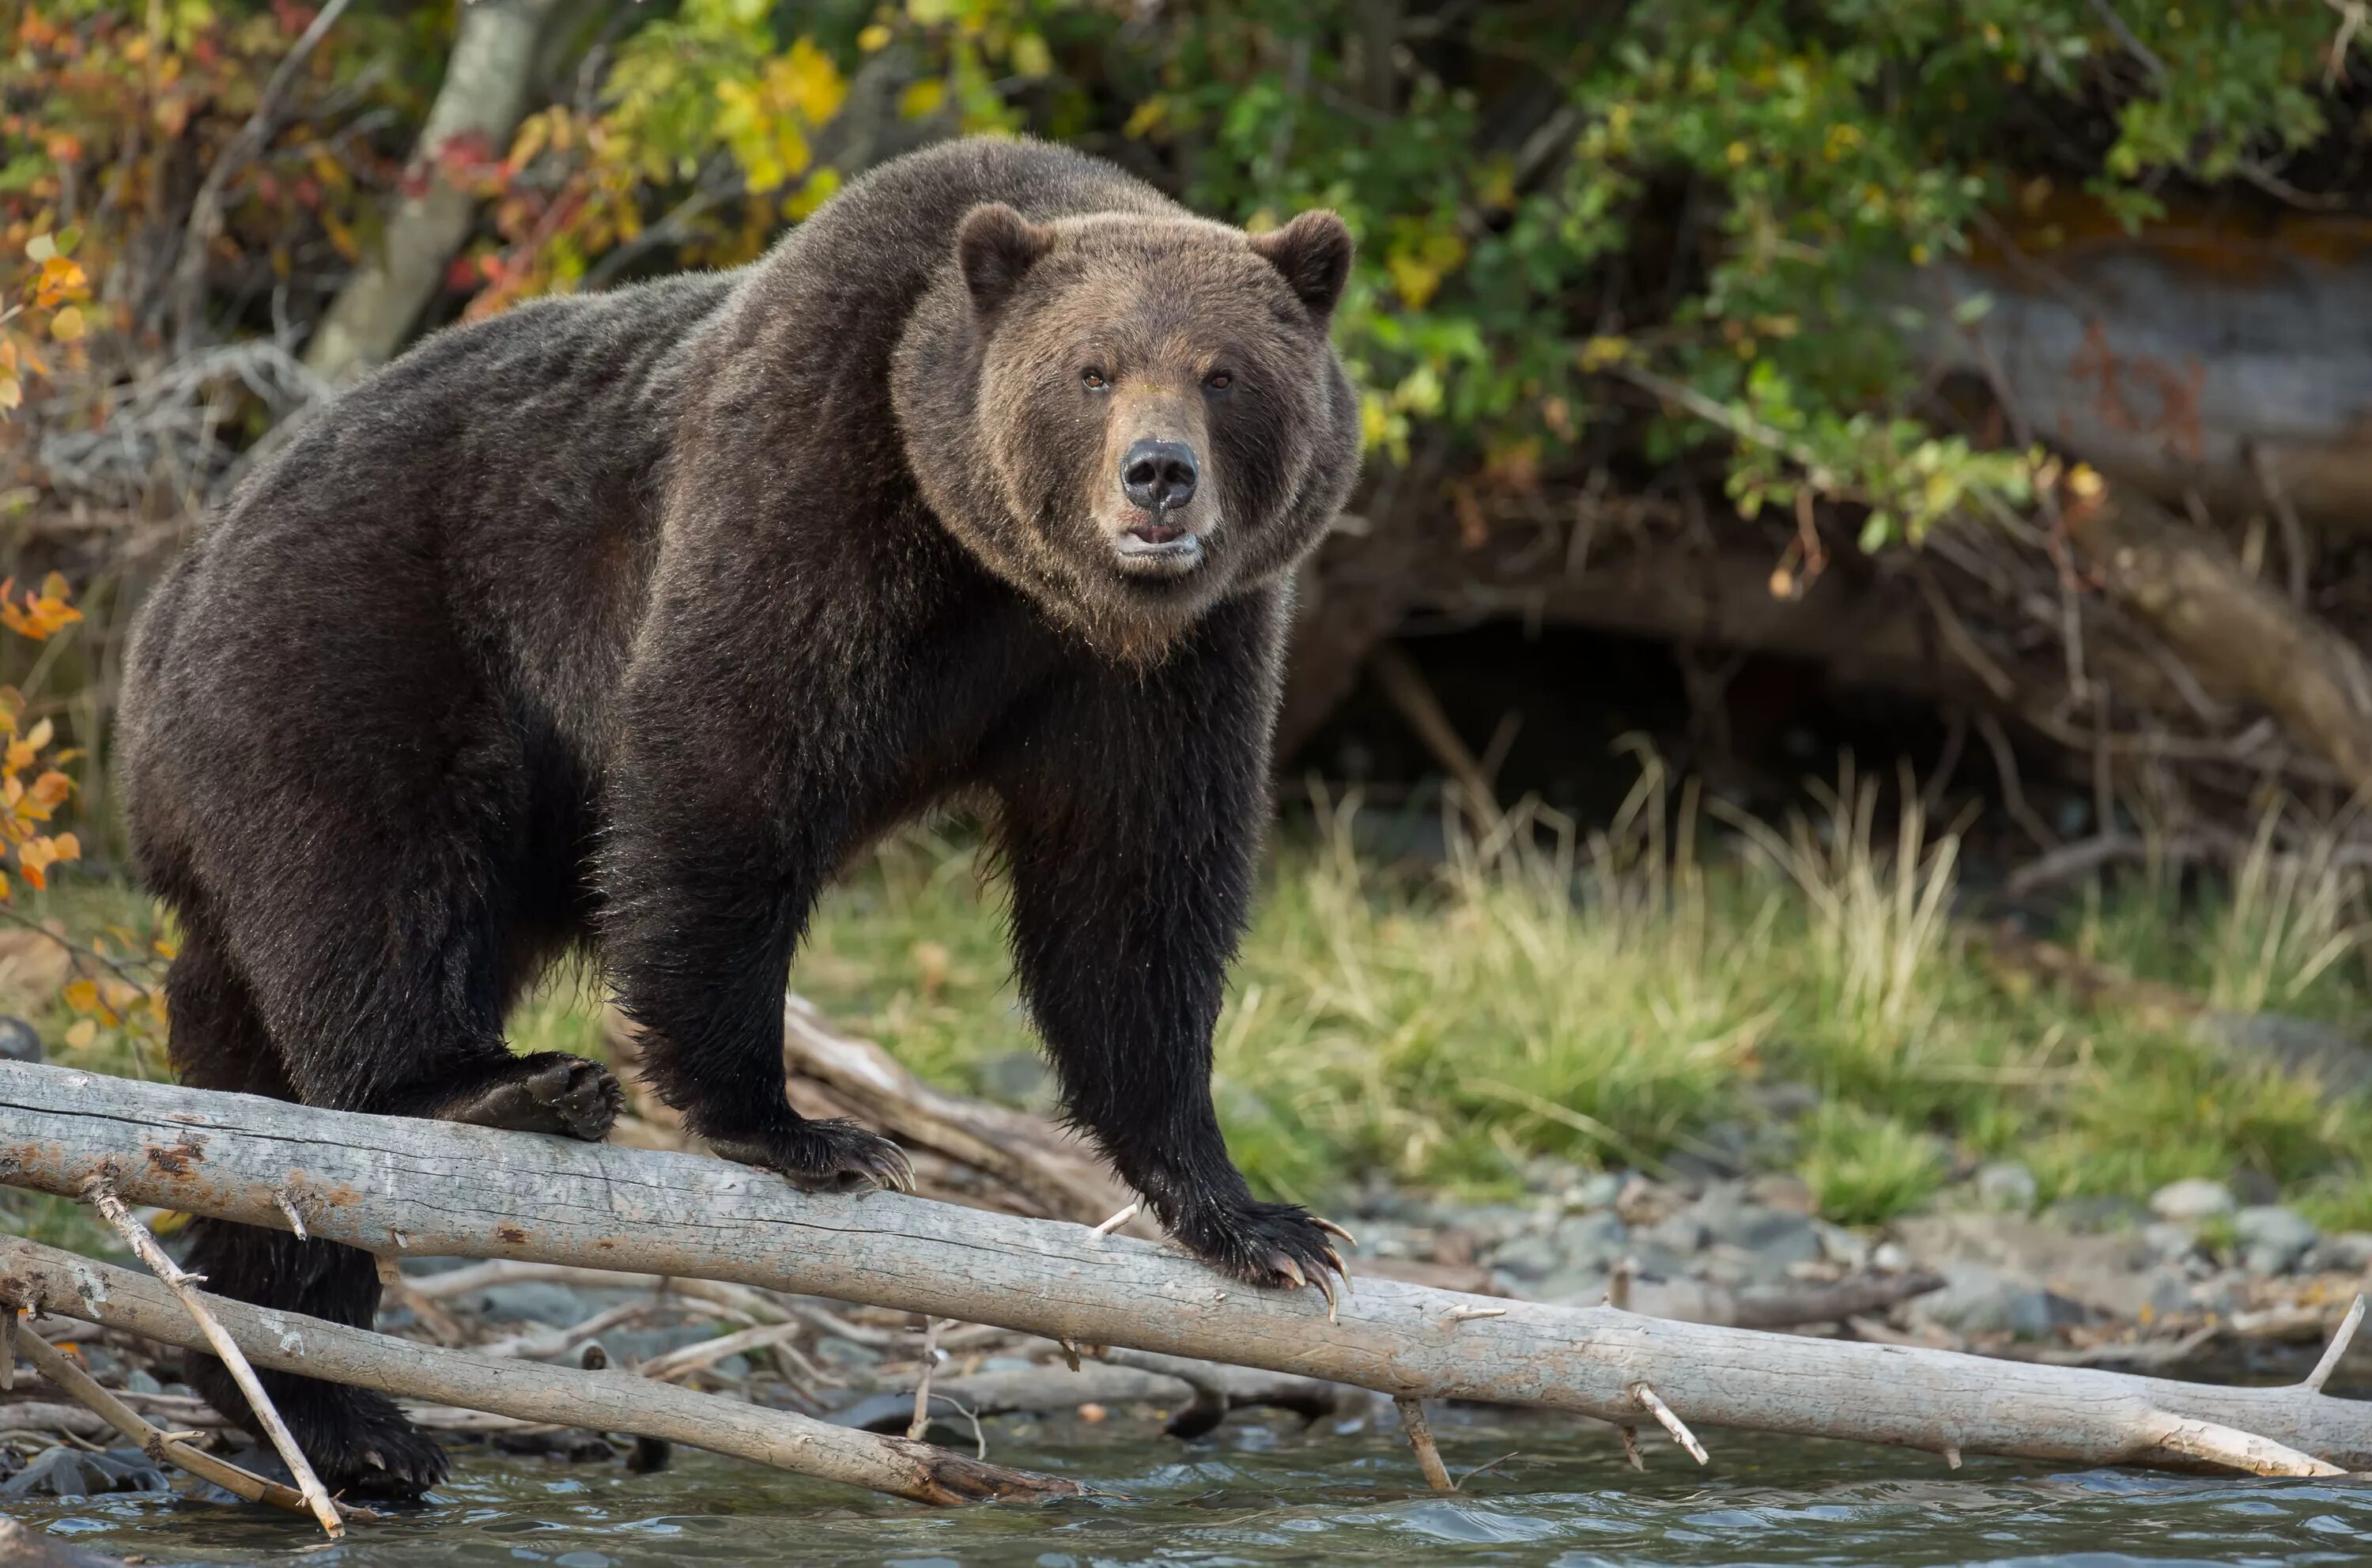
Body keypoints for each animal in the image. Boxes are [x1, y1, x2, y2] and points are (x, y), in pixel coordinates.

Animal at [120, 138, 1366, 1490]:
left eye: (1223, 372)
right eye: (1091, 369)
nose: (1159, 475)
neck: (1008, 577)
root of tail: (168, 598)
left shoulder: (1164, 665)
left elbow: (1136, 893)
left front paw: (1251, 1215)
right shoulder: (808, 482)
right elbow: (728, 762)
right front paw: (799, 1126)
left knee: (254, 1081)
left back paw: (321, 1397)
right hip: (354, 639)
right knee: (377, 881)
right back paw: (484, 1090)